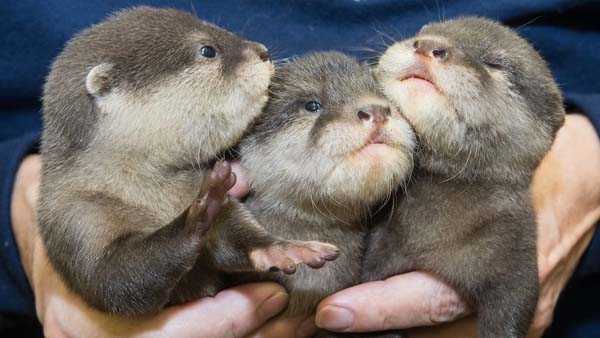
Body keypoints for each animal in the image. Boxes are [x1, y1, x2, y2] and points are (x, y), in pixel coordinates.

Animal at [39, 5, 340, 316]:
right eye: (207, 50)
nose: (262, 51)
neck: (141, 191)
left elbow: (234, 232)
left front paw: (281, 248)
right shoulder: (77, 221)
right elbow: (114, 282)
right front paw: (196, 216)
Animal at [364, 17, 564, 338]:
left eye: (495, 63)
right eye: (422, 32)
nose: (429, 45)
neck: (432, 234)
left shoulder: (515, 259)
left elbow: (513, 312)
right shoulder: (378, 246)